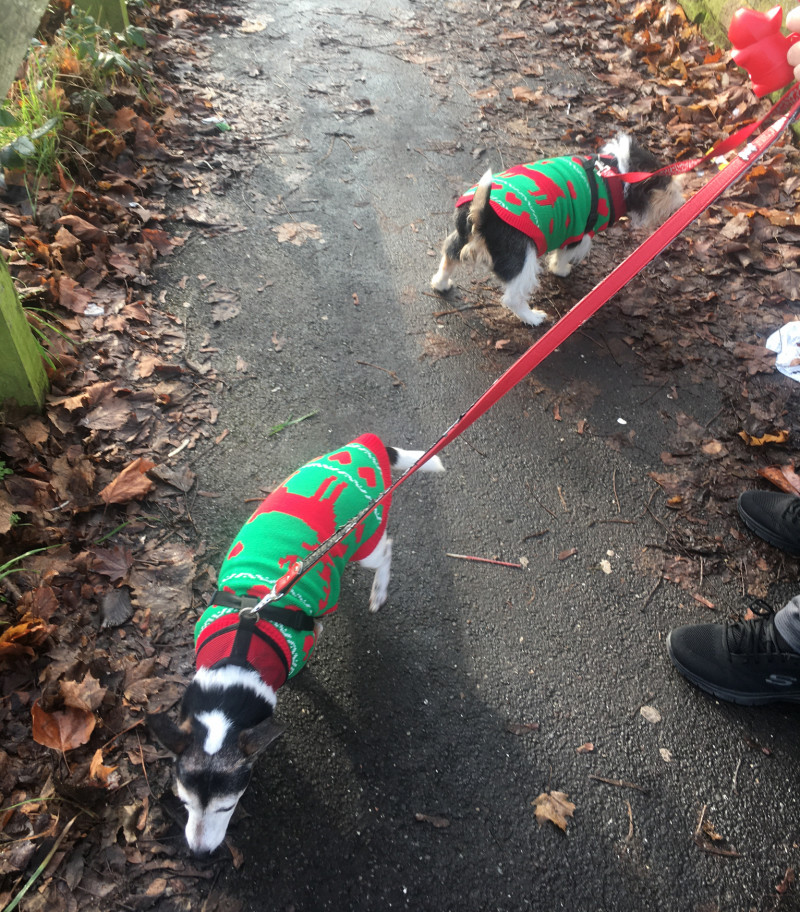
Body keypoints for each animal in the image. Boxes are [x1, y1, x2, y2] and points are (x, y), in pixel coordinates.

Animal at [146, 434, 440, 856]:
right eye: (183, 802)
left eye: (228, 807)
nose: (200, 855)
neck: (236, 658)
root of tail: (368, 444)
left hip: (366, 538)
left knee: (385, 549)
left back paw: (379, 591)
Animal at [432, 132, 680, 324]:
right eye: (666, 187)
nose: (680, 199)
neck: (613, 174)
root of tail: (481, 213)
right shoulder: (578, 233)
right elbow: (563, 255)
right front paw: (561, 270)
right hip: (523, 261)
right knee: (513, 297)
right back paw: (532, 317)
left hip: (460, 239)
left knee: (448, 257)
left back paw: (441, 283)